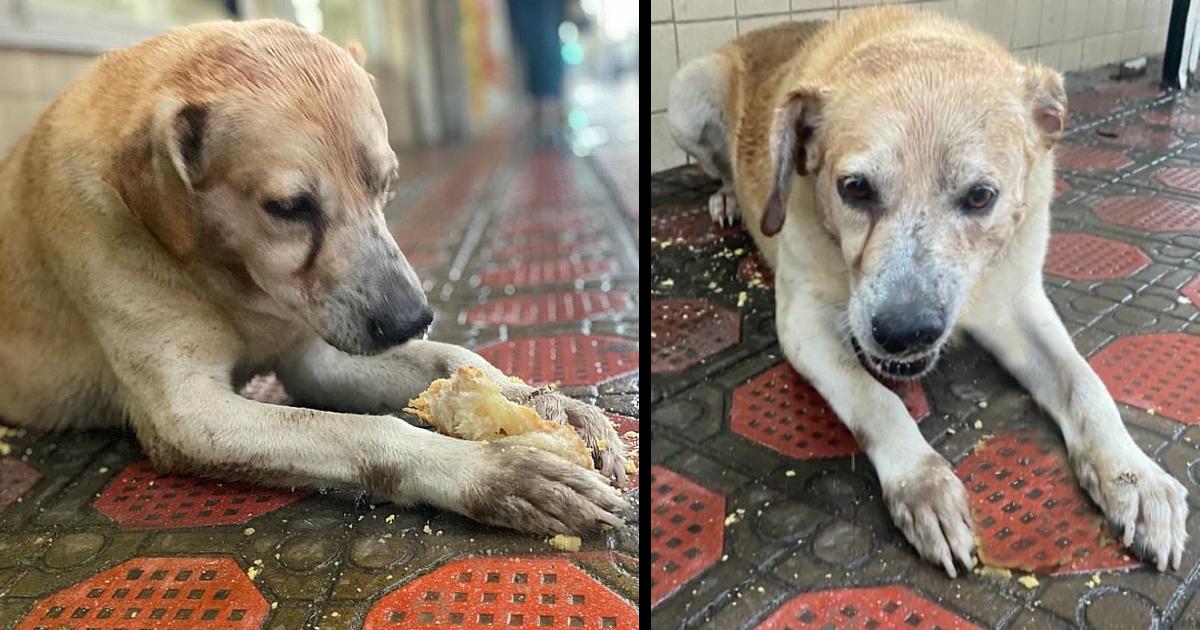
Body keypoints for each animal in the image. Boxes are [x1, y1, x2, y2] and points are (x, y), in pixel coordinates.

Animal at [0, 22, 633, 537]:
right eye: (287, 207)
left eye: (387, 182)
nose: (411, 319)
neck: (233, 280)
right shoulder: (188, 413)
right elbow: (365, 433)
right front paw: (490, 472)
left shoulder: (316, 358)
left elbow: (455, 358)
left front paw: (540, 401)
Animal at [672, 6, 1185, 573]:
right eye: (854, 188)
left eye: (981, 196)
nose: (904, 332)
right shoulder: (802, 323)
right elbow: (877, 401)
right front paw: (922, 483)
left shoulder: (1020, 304)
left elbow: (1087, 384)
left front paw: (1134, 475)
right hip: (687, 94)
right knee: (718, 167)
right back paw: (728, 198)